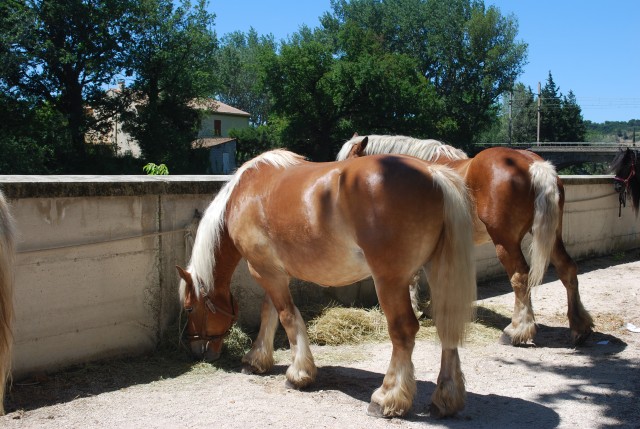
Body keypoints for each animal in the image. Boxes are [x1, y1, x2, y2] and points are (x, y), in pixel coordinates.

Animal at [177, 145, 477, 418]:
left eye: (189, 308)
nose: (195, 350)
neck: (244, 194)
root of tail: (433, 173)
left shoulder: (265, 272)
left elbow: (287, 317)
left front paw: (298, 373)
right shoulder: (273, 272)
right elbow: (269, 314)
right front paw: (257, 360)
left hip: (390, 281)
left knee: (403, 331)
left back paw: (387, 398)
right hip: (438, 271)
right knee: (447, 327)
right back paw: (446, 399)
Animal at [337, 135, 594, 346]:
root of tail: (533, 164)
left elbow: (414, 278)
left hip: (505, 241)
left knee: (520, 277)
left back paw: (517, 331)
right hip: (552, 235)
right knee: (567, 268)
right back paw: (579, 327)